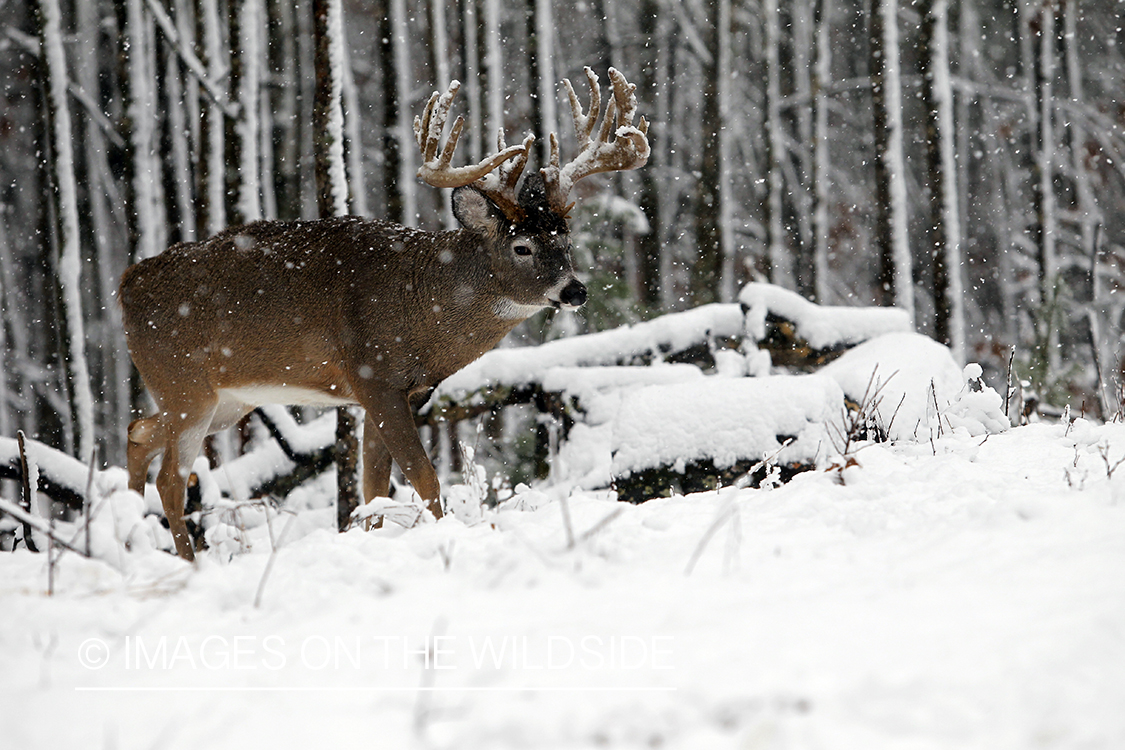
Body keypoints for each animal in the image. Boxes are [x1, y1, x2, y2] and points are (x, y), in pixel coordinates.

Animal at [119, 67, 652, 559]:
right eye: (522, 247)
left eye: (565, 239)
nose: (576, 290)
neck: (421, 307)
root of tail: (124, 286)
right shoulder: (373, 377)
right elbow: (424, 477)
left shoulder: (396, 392)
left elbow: (374, 488)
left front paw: (373, 540)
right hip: (184, 384)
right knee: (171, 478)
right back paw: (186, 562)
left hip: (226, 400)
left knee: (139, 431)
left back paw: (128, 540)